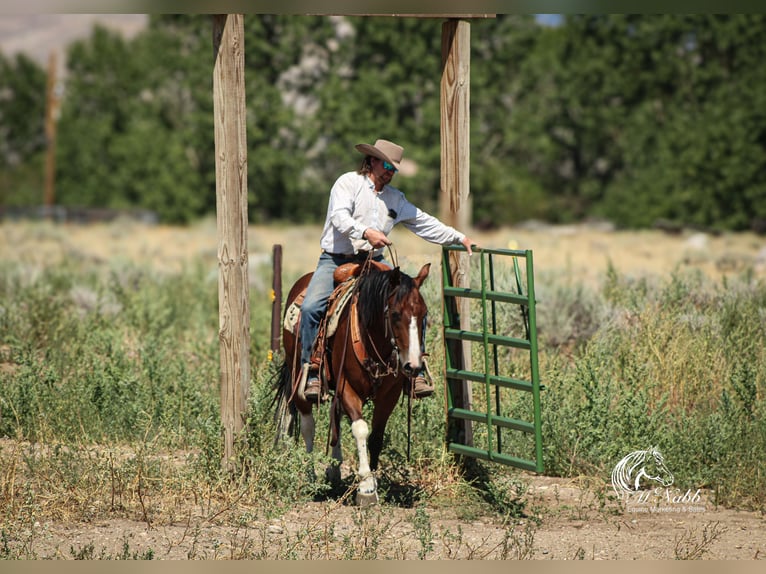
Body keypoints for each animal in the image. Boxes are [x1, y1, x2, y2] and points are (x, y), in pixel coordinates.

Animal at [273, 261, 431, 505]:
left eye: (423, 314)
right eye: (396, 314)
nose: (413, 366)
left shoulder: (389, 394)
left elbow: (376, 436)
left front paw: (373, 481)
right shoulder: (345, 386)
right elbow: (360, 429)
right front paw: (365, 487)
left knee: (335, 416)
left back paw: (334, 470)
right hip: (298, 377)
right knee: (309, 426)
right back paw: (311, 478)